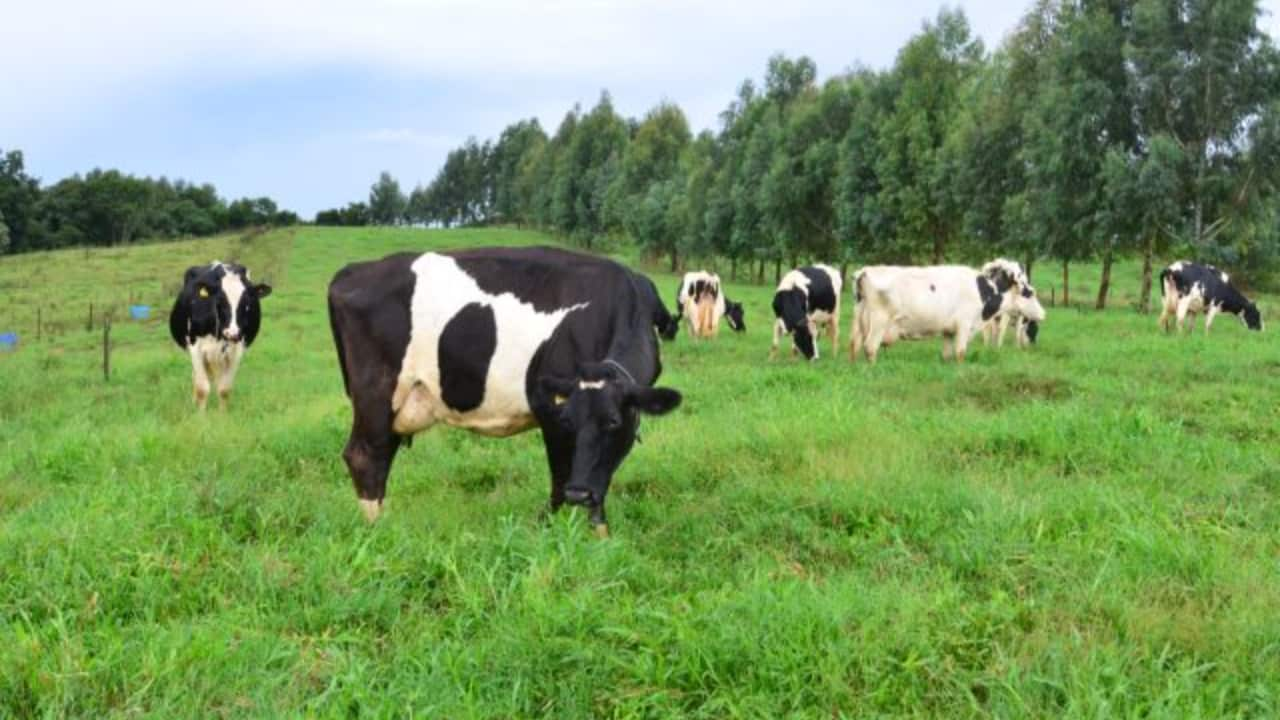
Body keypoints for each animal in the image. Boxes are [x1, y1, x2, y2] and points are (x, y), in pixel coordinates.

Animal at [168, 258, 271, 407]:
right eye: (220, 300)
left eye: (247, 302)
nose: (232, 334)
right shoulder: (195, 347)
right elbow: (202, 388)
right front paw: (200, 413)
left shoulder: (237, 350)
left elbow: (224, 389)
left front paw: (222, 412)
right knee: (197, 377)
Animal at [327, 244, 680, 532]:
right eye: (569, 420)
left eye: (613, 422)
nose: (579, 493)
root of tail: (355, 270)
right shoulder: (549, 409)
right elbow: (559, 480)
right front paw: (544, 529)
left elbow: (599, 483)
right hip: (376, 392)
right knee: (364, 456)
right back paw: (378, 530)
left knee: (381, 455)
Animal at [844, 263, 1044, 361]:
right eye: (1030, 293)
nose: (1044, 314)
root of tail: (865, 271)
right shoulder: (964, 325)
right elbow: (961, 352)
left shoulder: (948, 330)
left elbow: (946, 354)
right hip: (879, 321)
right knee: (870, 347)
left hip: (858, 317)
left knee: (854, 345)